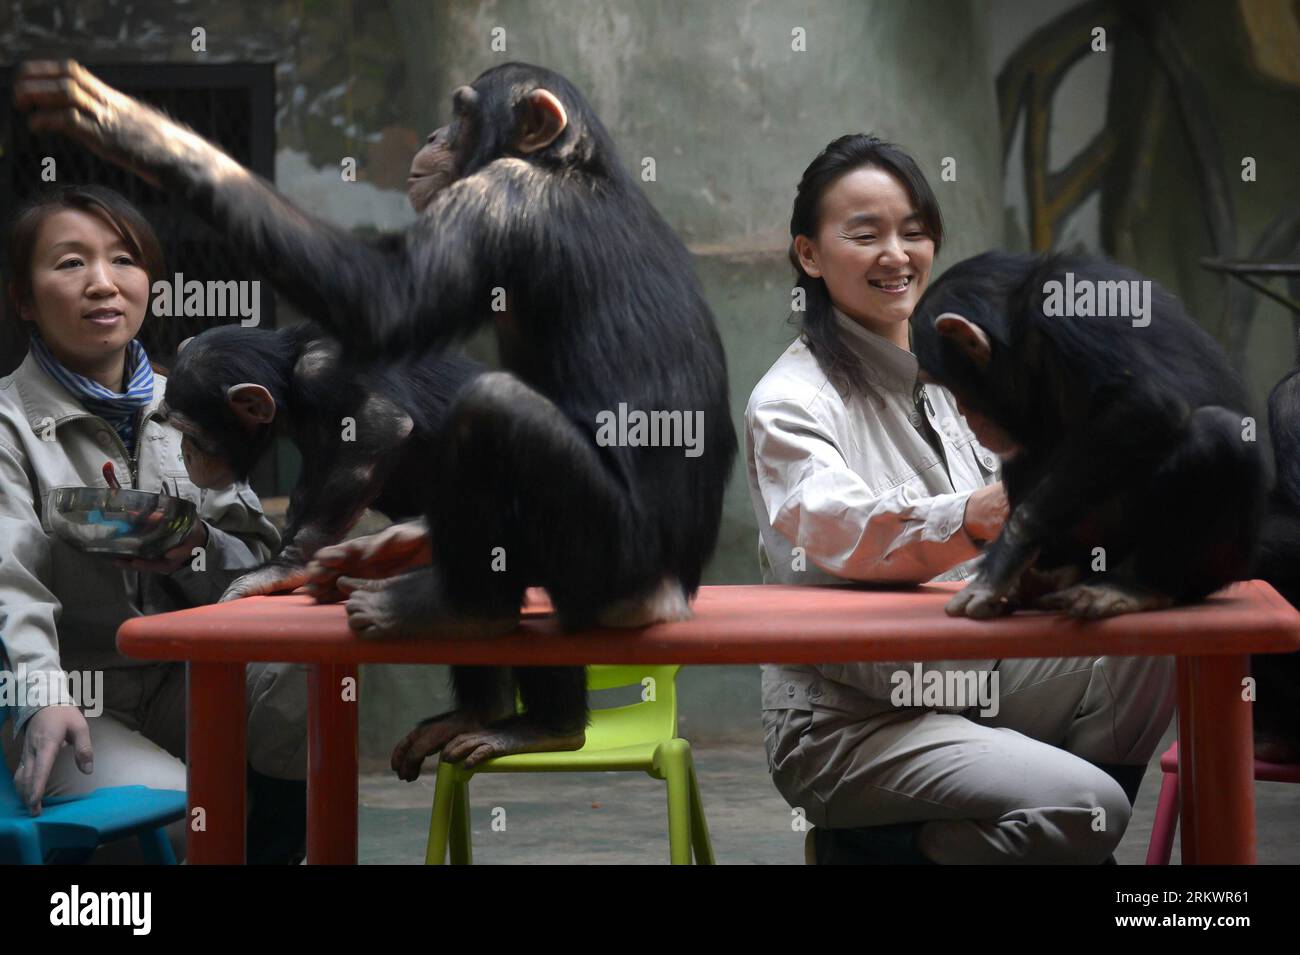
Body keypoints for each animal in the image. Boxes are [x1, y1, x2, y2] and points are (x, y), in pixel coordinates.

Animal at [152, 324, 478, 600]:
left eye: (190, 433)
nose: (186, 451)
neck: (288, 372)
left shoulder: (325, 371)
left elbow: (381, 423)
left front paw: (284, 568)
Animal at [909, 252, 1263, 621]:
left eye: (945, 384)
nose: (963, 412)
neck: (1020, 326)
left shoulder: (1070, 309)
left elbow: (1148, 404)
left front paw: (1006, 554)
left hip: (1220, 564)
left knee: (1217, 433)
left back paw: (1134, 587)